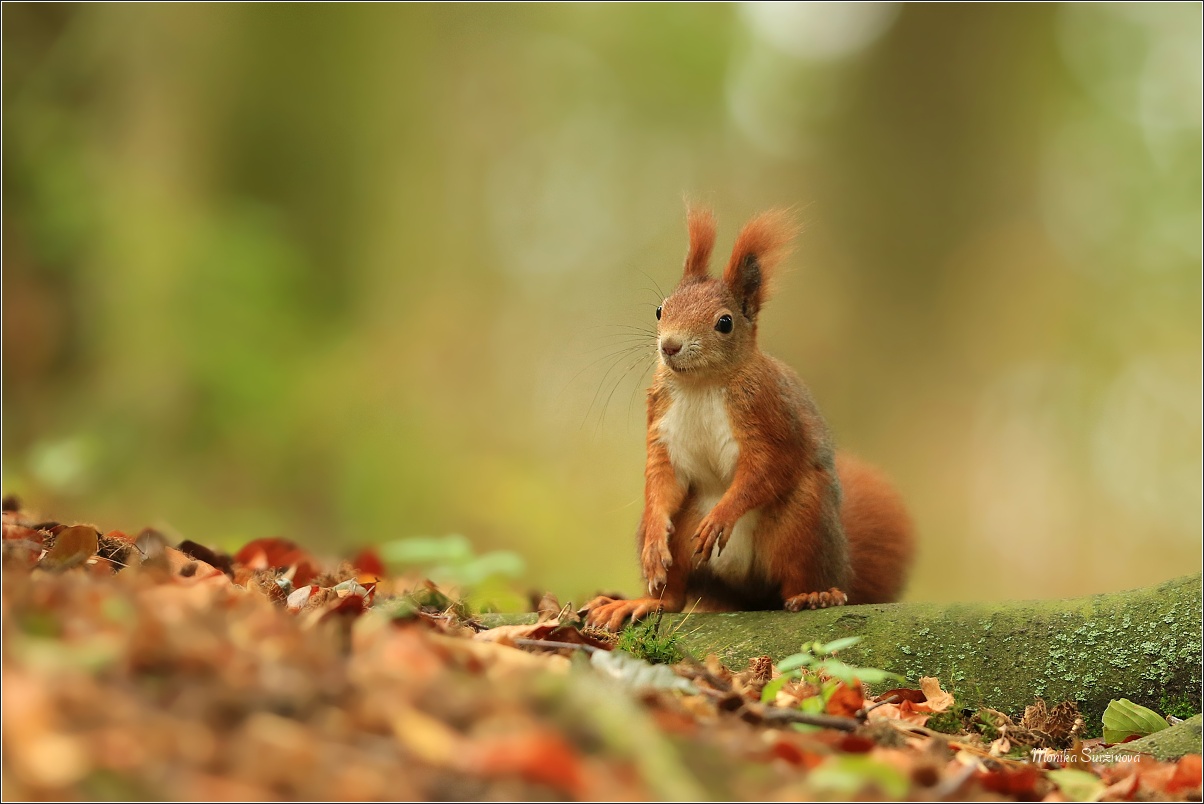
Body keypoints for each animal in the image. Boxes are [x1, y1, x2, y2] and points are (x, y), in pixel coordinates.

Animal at [582, 209, 910, 635]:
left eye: (725, 323)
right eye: (660, 309)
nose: (669, 345)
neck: (702, 383)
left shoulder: (770, 415)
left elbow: (767, 469)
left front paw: (724, 515)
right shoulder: (661, 424)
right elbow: (661, 479)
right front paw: (655, 536)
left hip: (803, 522)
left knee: (796, 577)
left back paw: (815, 595)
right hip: (685, 530)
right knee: (674, 596)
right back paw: (642, 602)